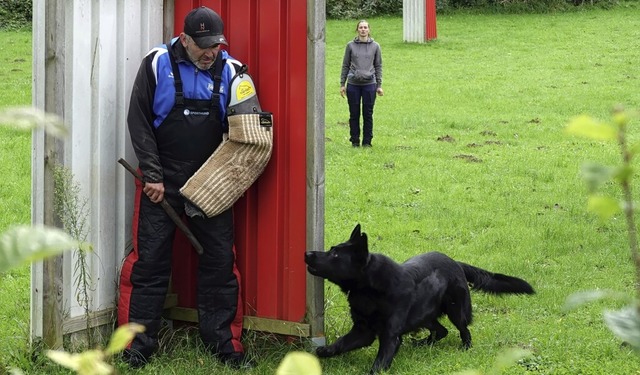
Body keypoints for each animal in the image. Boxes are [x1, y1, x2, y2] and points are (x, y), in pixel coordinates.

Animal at [302, 225, 532, 374]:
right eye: (331, 250)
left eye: (335, 256)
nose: (307, 253)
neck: (369, 289)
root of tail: (456, 263)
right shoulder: (362, 331)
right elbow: (341, 343)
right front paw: (322, 353)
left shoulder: (390, 336)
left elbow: (378, 364)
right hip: (424, 314)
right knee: (441, 330)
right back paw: (423, 344)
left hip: (455, 310)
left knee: (463, 330)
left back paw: (464, 348)